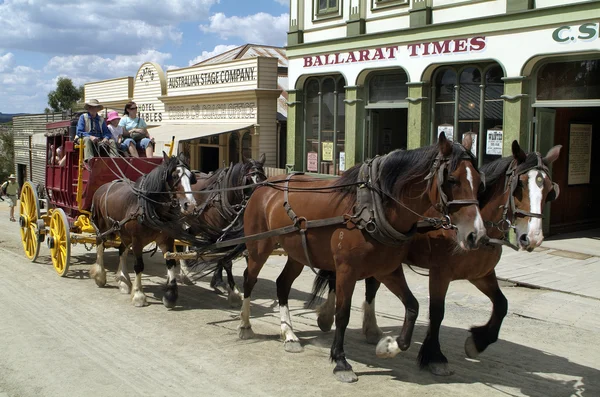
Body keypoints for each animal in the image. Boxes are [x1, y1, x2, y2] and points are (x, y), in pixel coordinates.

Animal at [90, 152, 197, 306]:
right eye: (174, 176)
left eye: (190, 177)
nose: (191, 205)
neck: (150, 207)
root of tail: (102, 188)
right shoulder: (137, 240)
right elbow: (139, 266)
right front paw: (138, 295)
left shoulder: (166, 239)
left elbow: (171, 262)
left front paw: (170, 295)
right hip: (102, 227)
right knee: (100, 244)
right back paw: (100, 275)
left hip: (123, 232)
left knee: (122, 250)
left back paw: (123, 281)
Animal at [237, 135, 486, 382]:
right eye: (452, 180)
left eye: (479, 182)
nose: (476, 235)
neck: (373, 209)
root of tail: (264, 185)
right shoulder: (346, 270)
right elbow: (342, 314)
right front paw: (341, 361)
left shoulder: (387, 270)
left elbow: (413, 307)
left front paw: (388, 346)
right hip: (259, 246)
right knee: (249, 278)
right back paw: (245, 325)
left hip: (297, 254)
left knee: (283, 283)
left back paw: (289, 334)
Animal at [314, 139, 564, 374]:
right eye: (520, 185)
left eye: (550, 190)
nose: (533, 237)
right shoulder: (440, 273)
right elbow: (437, 312)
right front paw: (434, 356)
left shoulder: (480, 274)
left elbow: (502, 304)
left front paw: (477, 342)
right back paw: (328, 316)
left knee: (369, 284)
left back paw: (369, 328)